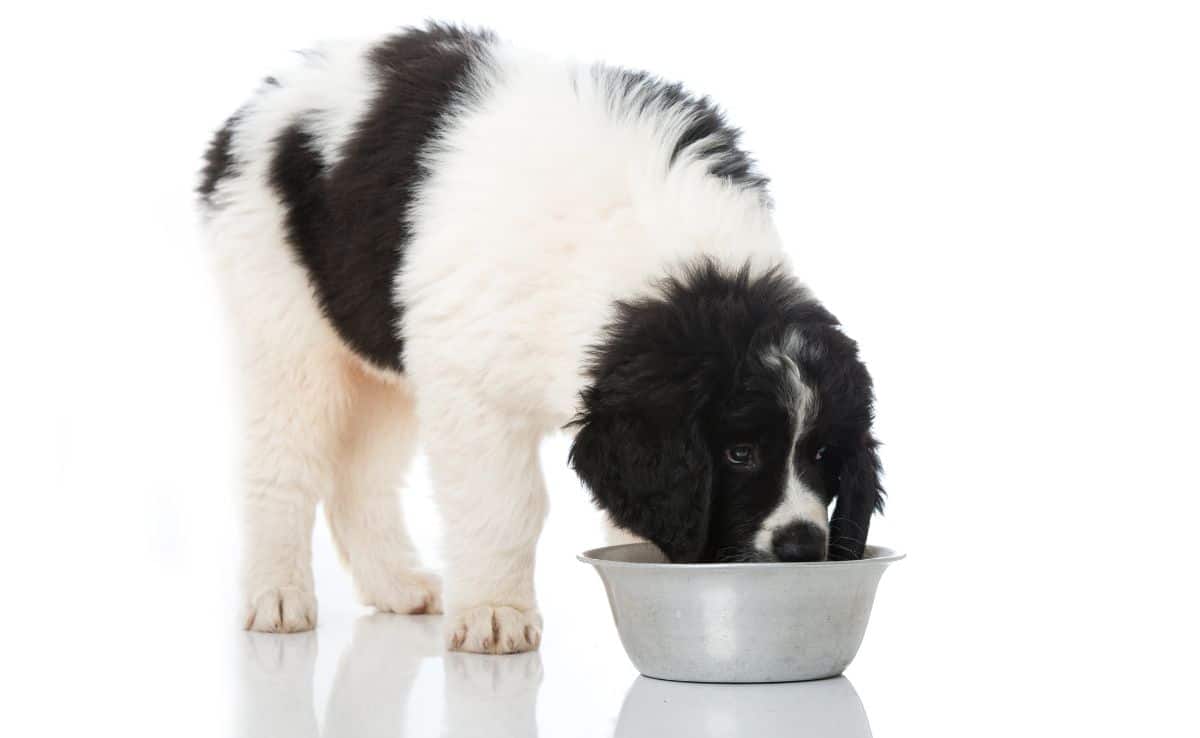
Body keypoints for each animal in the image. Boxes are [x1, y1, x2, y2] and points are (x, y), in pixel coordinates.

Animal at [199, 23, 883, 657]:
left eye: (824, 454)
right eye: (739, 453)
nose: (803, 546)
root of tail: (261, 102)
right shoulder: (472, 387)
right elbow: (505, 504)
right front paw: (495, 612)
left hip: (383, 358)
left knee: (360, 475)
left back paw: (396, 584)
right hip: (284, 323)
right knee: (281, 461)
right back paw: (277, 593)